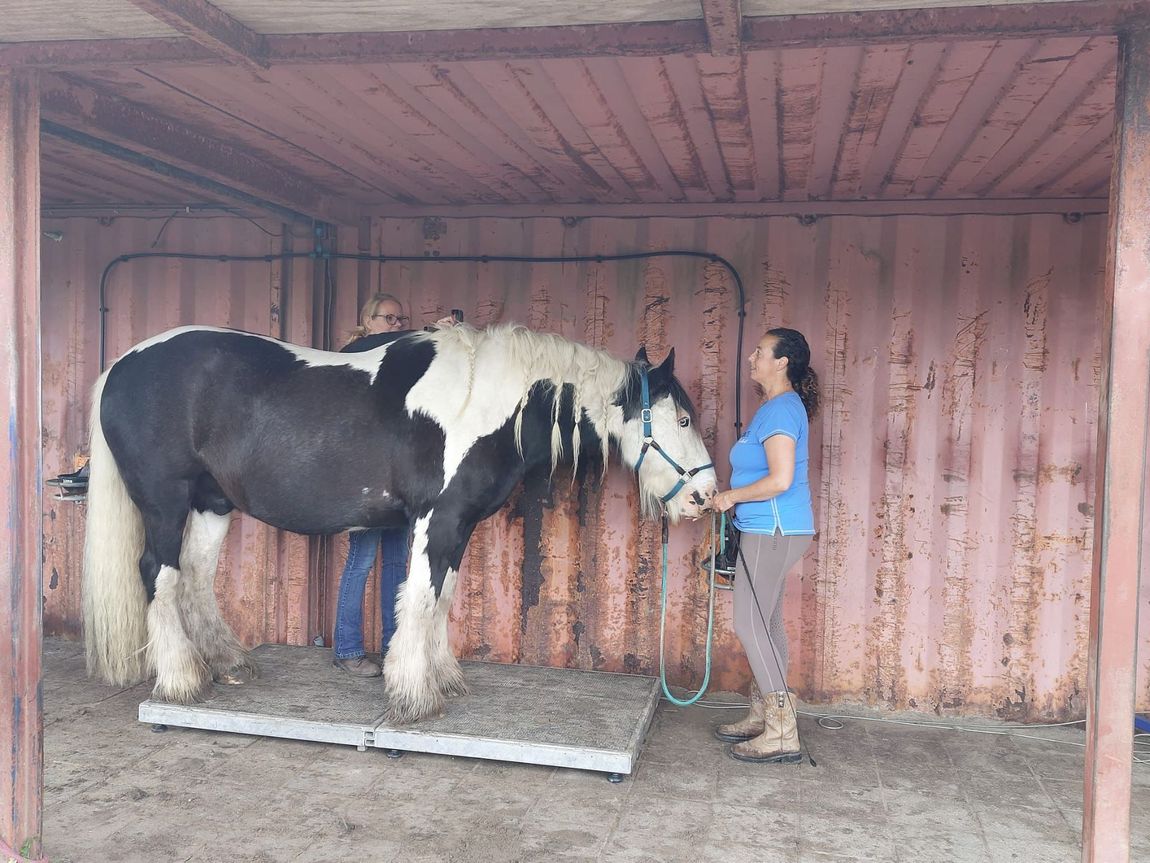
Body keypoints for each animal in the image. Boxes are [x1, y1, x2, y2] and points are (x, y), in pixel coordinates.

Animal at [82, 322, 718, 724]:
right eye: (684, 418)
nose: (706, 497)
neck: (483, 402)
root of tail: (119, 366)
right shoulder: (439, 518)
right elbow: (421, 597)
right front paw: (415, 695)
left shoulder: (459, 526)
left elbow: (443, 597)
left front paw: (443, 677)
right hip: (165, 501)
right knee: (158, 573)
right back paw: (183, 679)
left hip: (213, 503)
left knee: (192, 576)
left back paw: (227, 665)